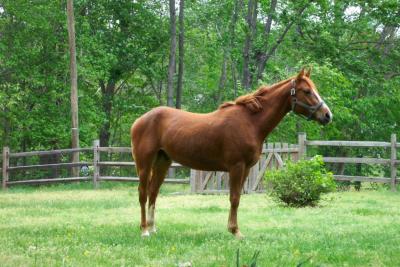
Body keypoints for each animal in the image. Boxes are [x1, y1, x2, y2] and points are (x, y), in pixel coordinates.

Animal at [130, 68, 332, 239]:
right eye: (307, 91)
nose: (327, 115)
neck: (250, 122)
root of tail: (140, 120)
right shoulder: (237, 167)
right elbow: (234, 198)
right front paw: (235, 231)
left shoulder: (247, 169)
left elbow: (238, 198)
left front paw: (233, 229)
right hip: (144, 164)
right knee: (143, 193)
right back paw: (144, 230)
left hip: (162, 162)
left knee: (153, 193)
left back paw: (152, 227)